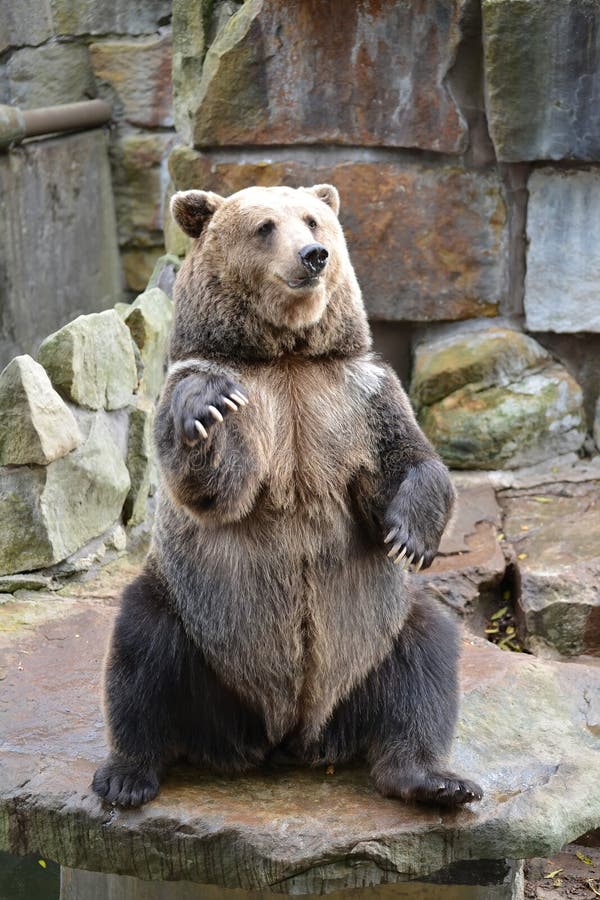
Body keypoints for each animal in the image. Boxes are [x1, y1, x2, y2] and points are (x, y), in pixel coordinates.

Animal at [92, 183, 482, 808]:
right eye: (265, 227)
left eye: (313, 220)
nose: (313, 256)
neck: (287, 356)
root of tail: (290, 735)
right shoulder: (244, 399)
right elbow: (214, 486)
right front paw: (208, 408)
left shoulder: (354, 396)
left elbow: (408, 459)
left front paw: (410, 536)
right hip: (199, 623)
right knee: (141, 653)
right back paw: (128, 776)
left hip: (377, 632)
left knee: (426, 657)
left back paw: (435, 780)